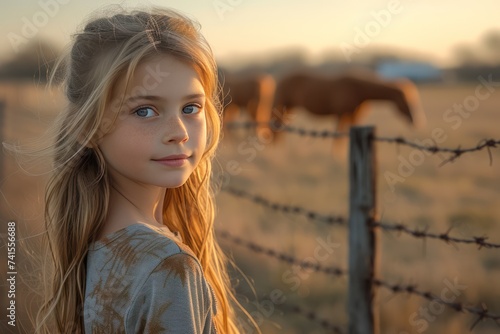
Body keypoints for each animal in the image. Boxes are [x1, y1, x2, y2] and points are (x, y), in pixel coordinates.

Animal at [272, 72, 424, 134]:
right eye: (407, 101)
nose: (417, 122)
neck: (358, 90)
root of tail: (281, 79)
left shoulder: (353, 116)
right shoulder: (341, 114)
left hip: (289, 108)